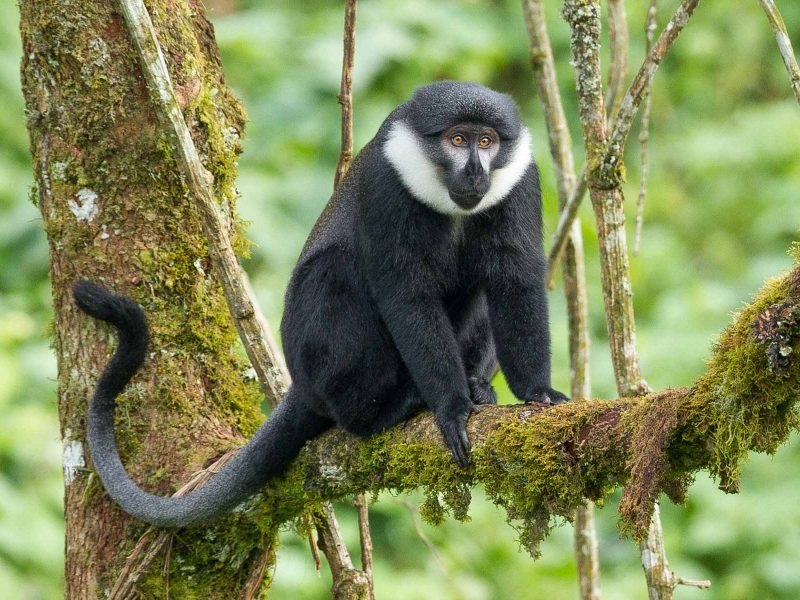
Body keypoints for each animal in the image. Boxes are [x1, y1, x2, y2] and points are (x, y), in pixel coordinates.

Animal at [73, 81, 569, 528]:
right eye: (458, 140)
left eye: (487, 142)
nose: (476, 173)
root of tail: (302, 385)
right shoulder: (386, 184)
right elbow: (406, 293)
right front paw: (451, 407)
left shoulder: (521, 180)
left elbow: (514, 278)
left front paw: (537, 393)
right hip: (318, 361)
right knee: (337, 269)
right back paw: (380, 411)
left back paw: (476, 384)